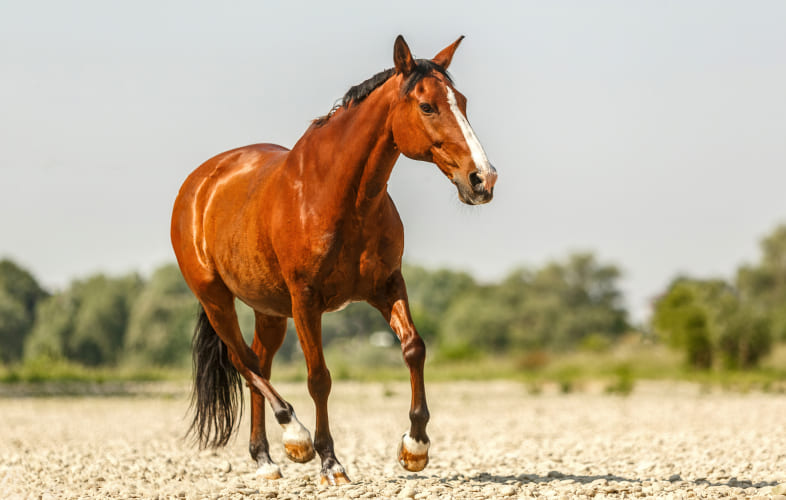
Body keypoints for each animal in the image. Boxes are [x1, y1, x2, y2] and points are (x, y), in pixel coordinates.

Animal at [170, 35, 497, 485]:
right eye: (427, 106)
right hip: (216, 298)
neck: (339, 197)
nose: (483, 179)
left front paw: (415, 447)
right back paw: (294, 436)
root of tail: (200, 183)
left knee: (259, 364)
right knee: (244, 362)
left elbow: (414, 348)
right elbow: (319, 378)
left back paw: (265, 458)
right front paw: (329, 461)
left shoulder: (387, 286)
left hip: (269, 310)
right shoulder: (306, 301)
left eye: (462, 101)